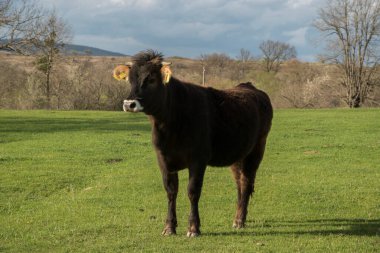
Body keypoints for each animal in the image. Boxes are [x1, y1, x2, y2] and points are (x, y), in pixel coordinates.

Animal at [113, 50, 274, 237]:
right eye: (129, 79)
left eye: (151, 79)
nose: (129, 104)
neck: (171, 124)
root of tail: (249, 87)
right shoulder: (163, 159)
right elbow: (171, 191)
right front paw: (169, 227)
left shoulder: (198, 159)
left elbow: (193, 191)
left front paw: (193, 228)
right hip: (238, 155)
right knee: (240, 183)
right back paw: (237, 219)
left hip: (257, 149)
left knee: (246, 182)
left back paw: (240, 220)